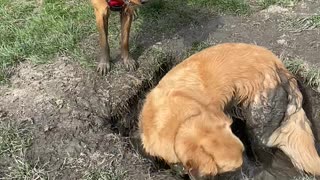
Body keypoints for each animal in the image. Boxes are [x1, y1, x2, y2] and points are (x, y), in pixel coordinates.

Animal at [139, 42, 320, 179]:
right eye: (229, 171)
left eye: (242, 156)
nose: (250, 175)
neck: (181, 121)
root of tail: (279, 66)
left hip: (258, 128)